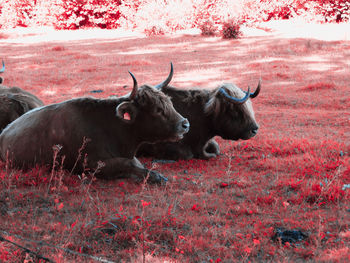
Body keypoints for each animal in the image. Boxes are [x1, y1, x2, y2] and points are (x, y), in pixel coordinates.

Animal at [0, 67, 189, 185]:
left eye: (169, 102)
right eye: (157, 109)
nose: (185, 124)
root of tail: (4, 133)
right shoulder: (91, 164)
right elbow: (127, 164)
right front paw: (155, 177)